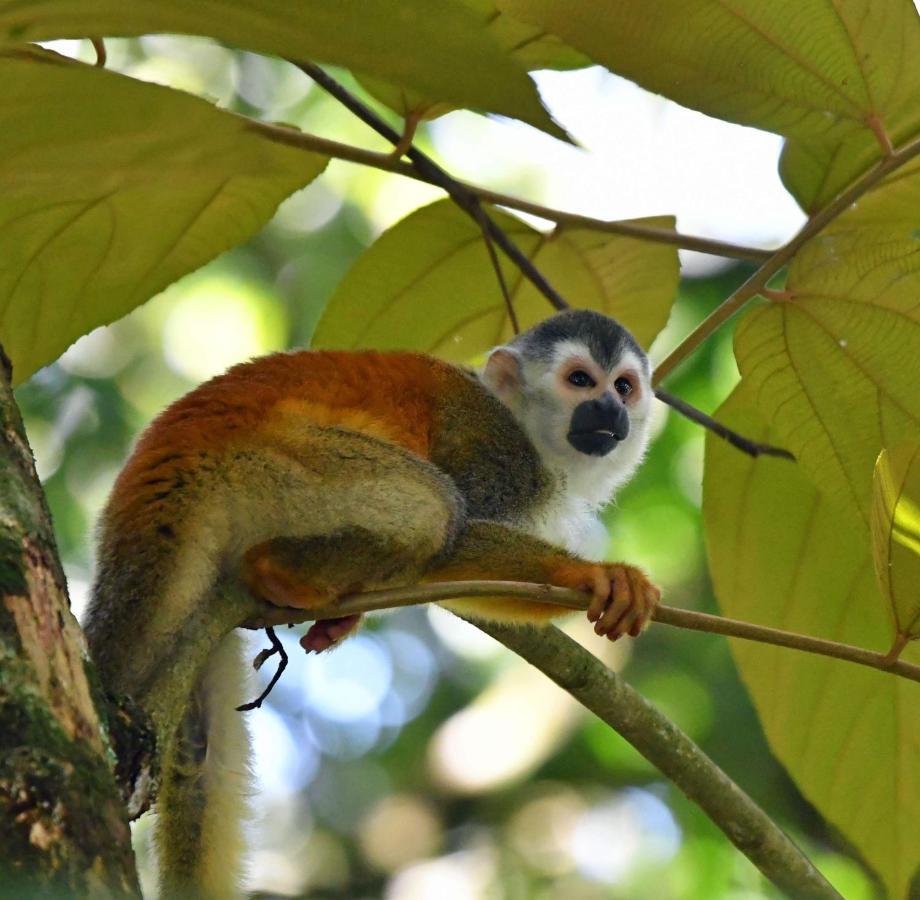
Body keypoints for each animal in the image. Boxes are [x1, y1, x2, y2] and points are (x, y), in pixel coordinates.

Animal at [86, 308, 656, 892]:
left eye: (623, 386)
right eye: (581, 380)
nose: (610, 407)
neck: (529, 432)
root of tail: (163, 456)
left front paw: (346, 620)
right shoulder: (493, 450)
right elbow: (461, 541)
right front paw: (591, 575)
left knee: (203, 757)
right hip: (271, 459)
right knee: (435, 506)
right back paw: (282, 572)